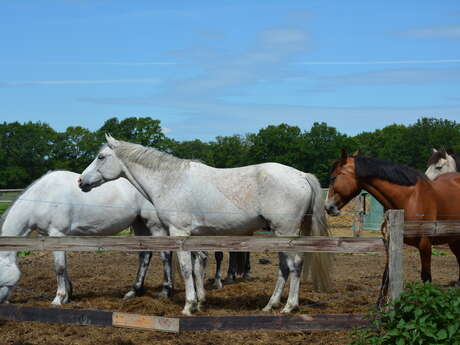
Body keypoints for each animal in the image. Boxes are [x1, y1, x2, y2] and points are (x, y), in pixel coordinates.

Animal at [0, 169, 173, 304]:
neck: (43, 196)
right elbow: (64, 266)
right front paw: (67, 296)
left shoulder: (57, 234)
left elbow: (59, 268)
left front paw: (58, 299)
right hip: (139, 224)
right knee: (145, 255)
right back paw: (133, 292)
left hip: (155, 225)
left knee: (165, 254)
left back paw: (165, 292)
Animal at [78, 135, 330, 314]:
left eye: (101, 157)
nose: (81, 181)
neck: (171, 181)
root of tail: (301, 175)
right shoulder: (194, 235)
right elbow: (198, 266)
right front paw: (200, 302)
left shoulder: (178, 233)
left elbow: (186, 268)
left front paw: (188, 306)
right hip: (280, 235)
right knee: (284, 268)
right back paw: (271, 304)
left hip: (285, 232)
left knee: (295, 265)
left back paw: (289, 306)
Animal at [326, 149, 460, 284]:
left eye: (333, 178)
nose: (328, 207)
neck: (410, 199)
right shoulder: (392, 242)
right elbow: (388, 277)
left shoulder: (425, 245)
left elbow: (426, 278)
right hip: (454, 240)